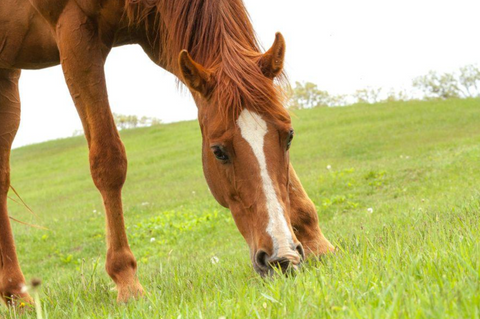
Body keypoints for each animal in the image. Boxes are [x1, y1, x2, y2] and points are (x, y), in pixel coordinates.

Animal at [0, 0, 334, 306]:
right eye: (218, 152)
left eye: (289, 136)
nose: (280, 258)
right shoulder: (75, 35)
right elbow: (108, 160)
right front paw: (127, 281)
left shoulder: (164, 40)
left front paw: (316, 243)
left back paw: (15, 294)